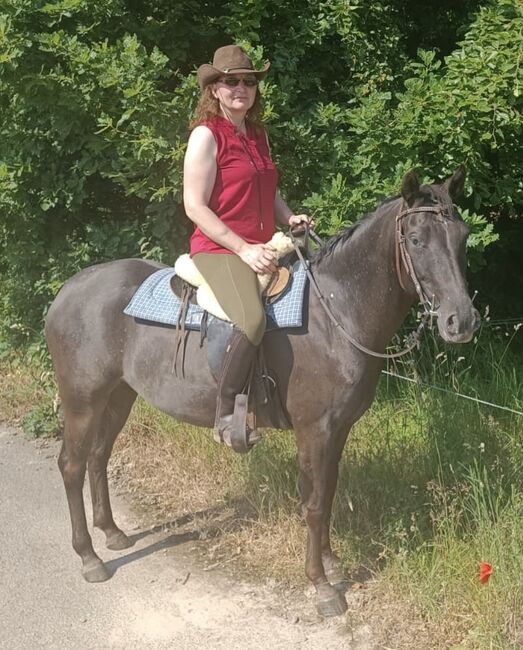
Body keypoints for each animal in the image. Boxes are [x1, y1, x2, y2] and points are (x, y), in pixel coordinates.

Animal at [47, 167, 482, 612]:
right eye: (416, 240)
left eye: (462, 236)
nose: (461, 321)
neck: (334, 313)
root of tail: (69, 289)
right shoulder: (315, 430)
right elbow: (314, 504)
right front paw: (321, 586)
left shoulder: (337, 429)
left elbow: (326, 493)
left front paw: (331, 563)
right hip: (82, 401)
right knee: (71, 465)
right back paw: (89, 556)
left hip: (119, 396)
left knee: (98, 457)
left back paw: (112, 533)